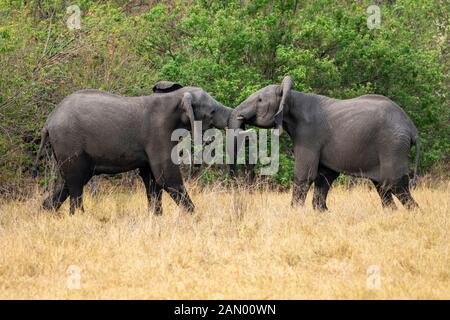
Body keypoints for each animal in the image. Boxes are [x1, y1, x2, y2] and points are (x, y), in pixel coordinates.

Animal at [32, 81, 232, 214]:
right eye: (212, 112)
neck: (176, 98)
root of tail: (48, 123)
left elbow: (151, 180)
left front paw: (155, 218)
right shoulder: (158, 132)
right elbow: (166, 177)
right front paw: (195, 216)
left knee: (68, 181)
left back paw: (44, 213)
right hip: (69, 142)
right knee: (75, 183)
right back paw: (78, 217)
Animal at [230, 74, 420, 210]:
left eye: (260, 100)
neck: (291, 97)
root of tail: (412, 129)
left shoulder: (309, 135)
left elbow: (304, 175)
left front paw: (294, 212)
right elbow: (324, 177)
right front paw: (321, 212)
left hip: (393, 144)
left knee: (395, 184)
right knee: (383, 187)